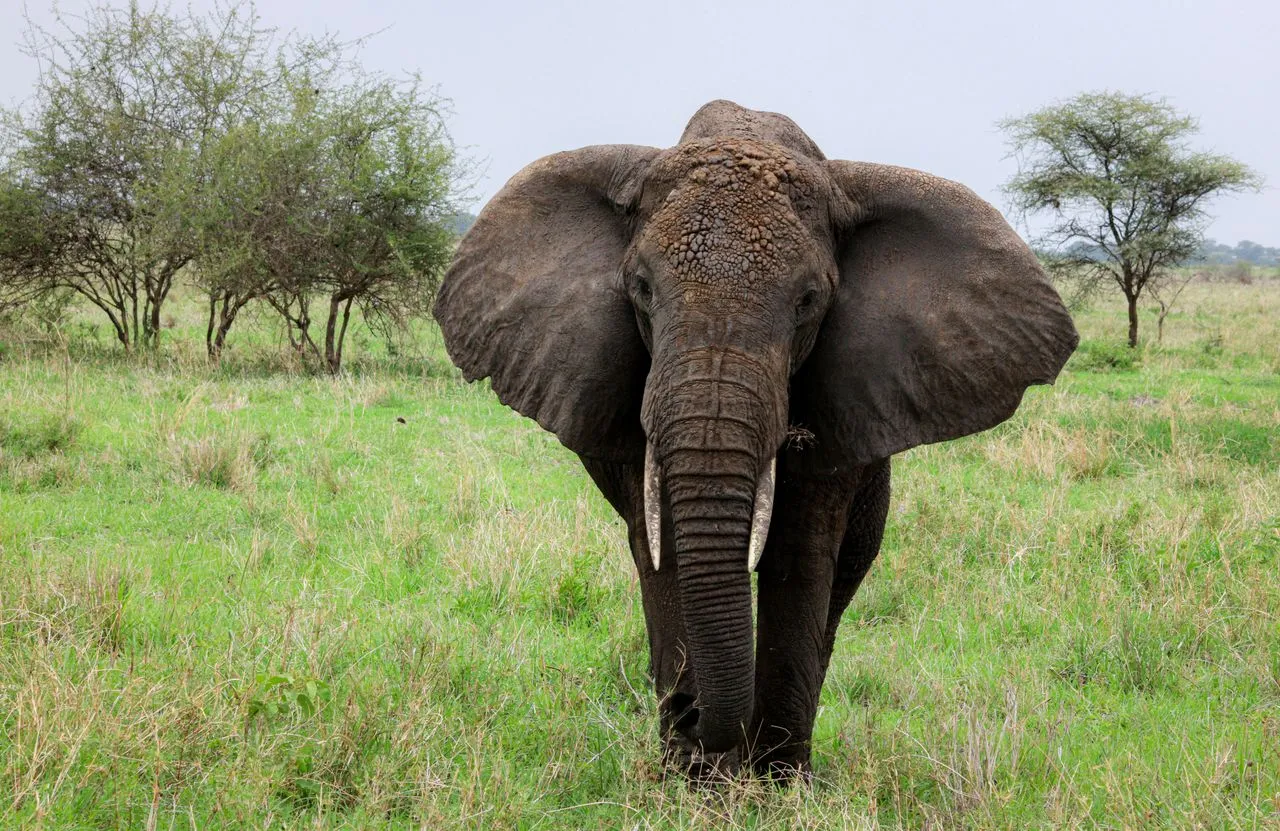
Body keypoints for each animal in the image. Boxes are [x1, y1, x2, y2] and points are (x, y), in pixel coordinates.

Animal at [433, 100, 1078, 781]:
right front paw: (695, 781)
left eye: (809, 301)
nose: (688, 713)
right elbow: (662, 552)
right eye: (641, 289)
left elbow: (799, 554)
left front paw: (775, 783)